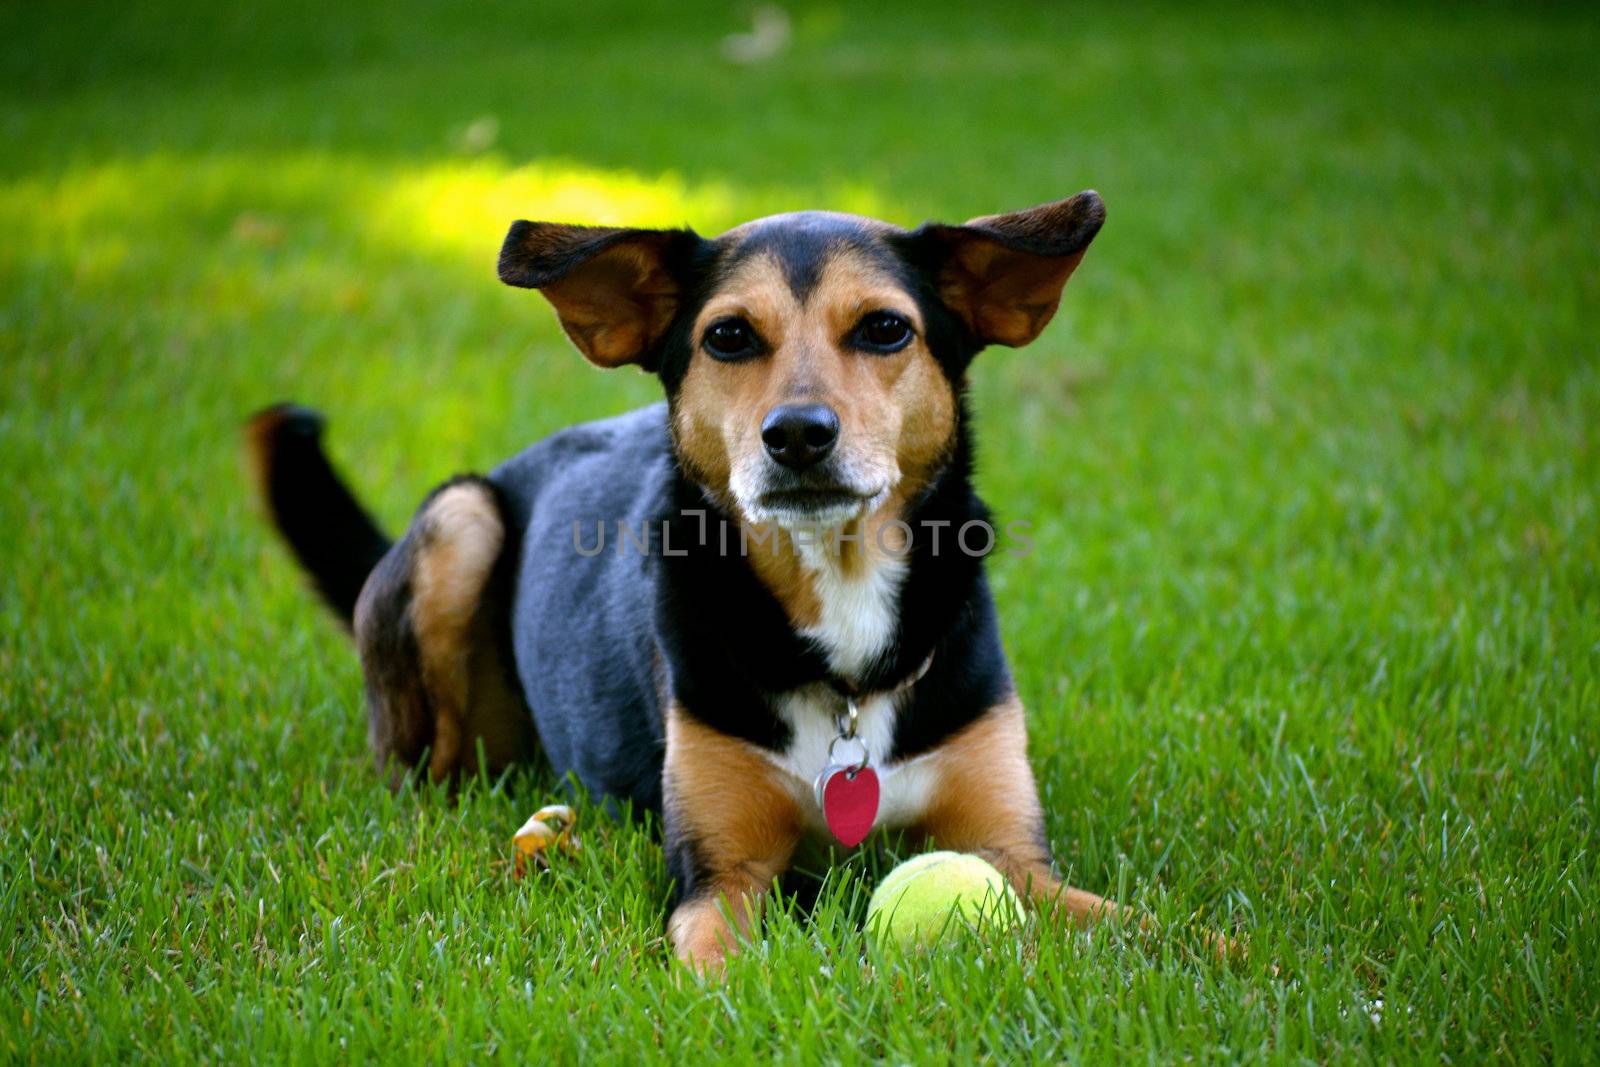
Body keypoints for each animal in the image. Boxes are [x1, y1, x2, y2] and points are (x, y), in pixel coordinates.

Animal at [252, 189, 1126, 966]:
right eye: (729, 336)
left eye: (885, 329)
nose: (798, 434)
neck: (839, 604)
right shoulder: (718, 874)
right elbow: (717, 968)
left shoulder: (1016, 856)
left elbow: (1142, 926)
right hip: (460, 524)